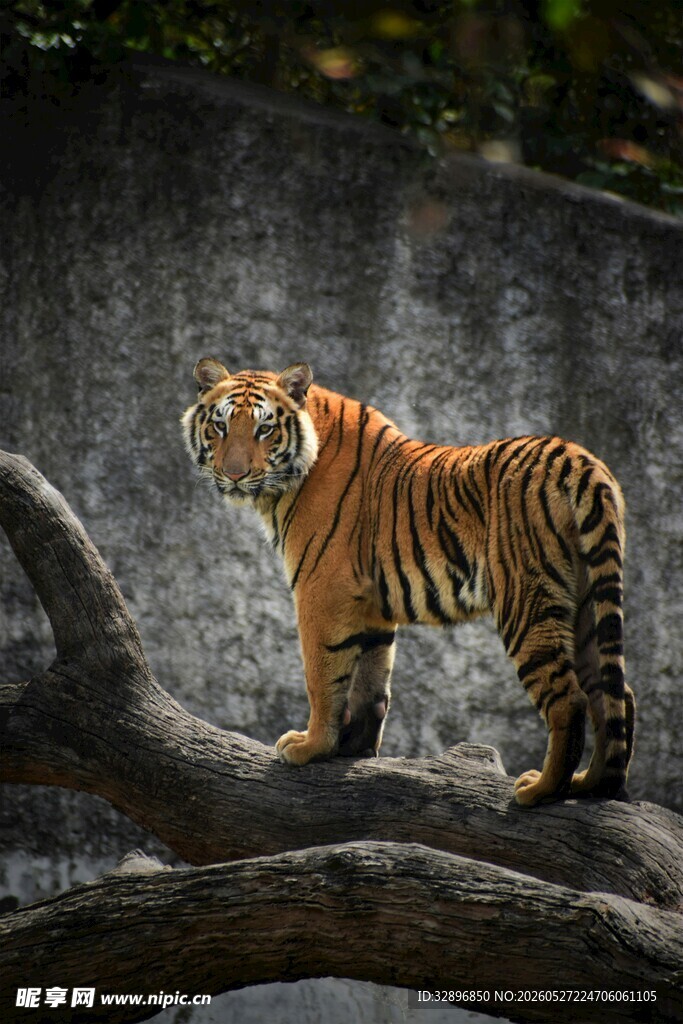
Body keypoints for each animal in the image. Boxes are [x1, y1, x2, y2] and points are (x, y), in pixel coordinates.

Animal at [181, 358, 635, 806]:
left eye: (264, 429)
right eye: (220, 426)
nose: (234, 475)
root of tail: (580, 460)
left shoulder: (321, 588)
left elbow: (323, 674)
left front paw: (311, 746)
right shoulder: (369, 603)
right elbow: (371, 678)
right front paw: (354, 748)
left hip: (526, 600)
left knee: (569, 699)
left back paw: (540, 790)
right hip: (587, 603)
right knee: (614, 695)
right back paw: (590, 785)